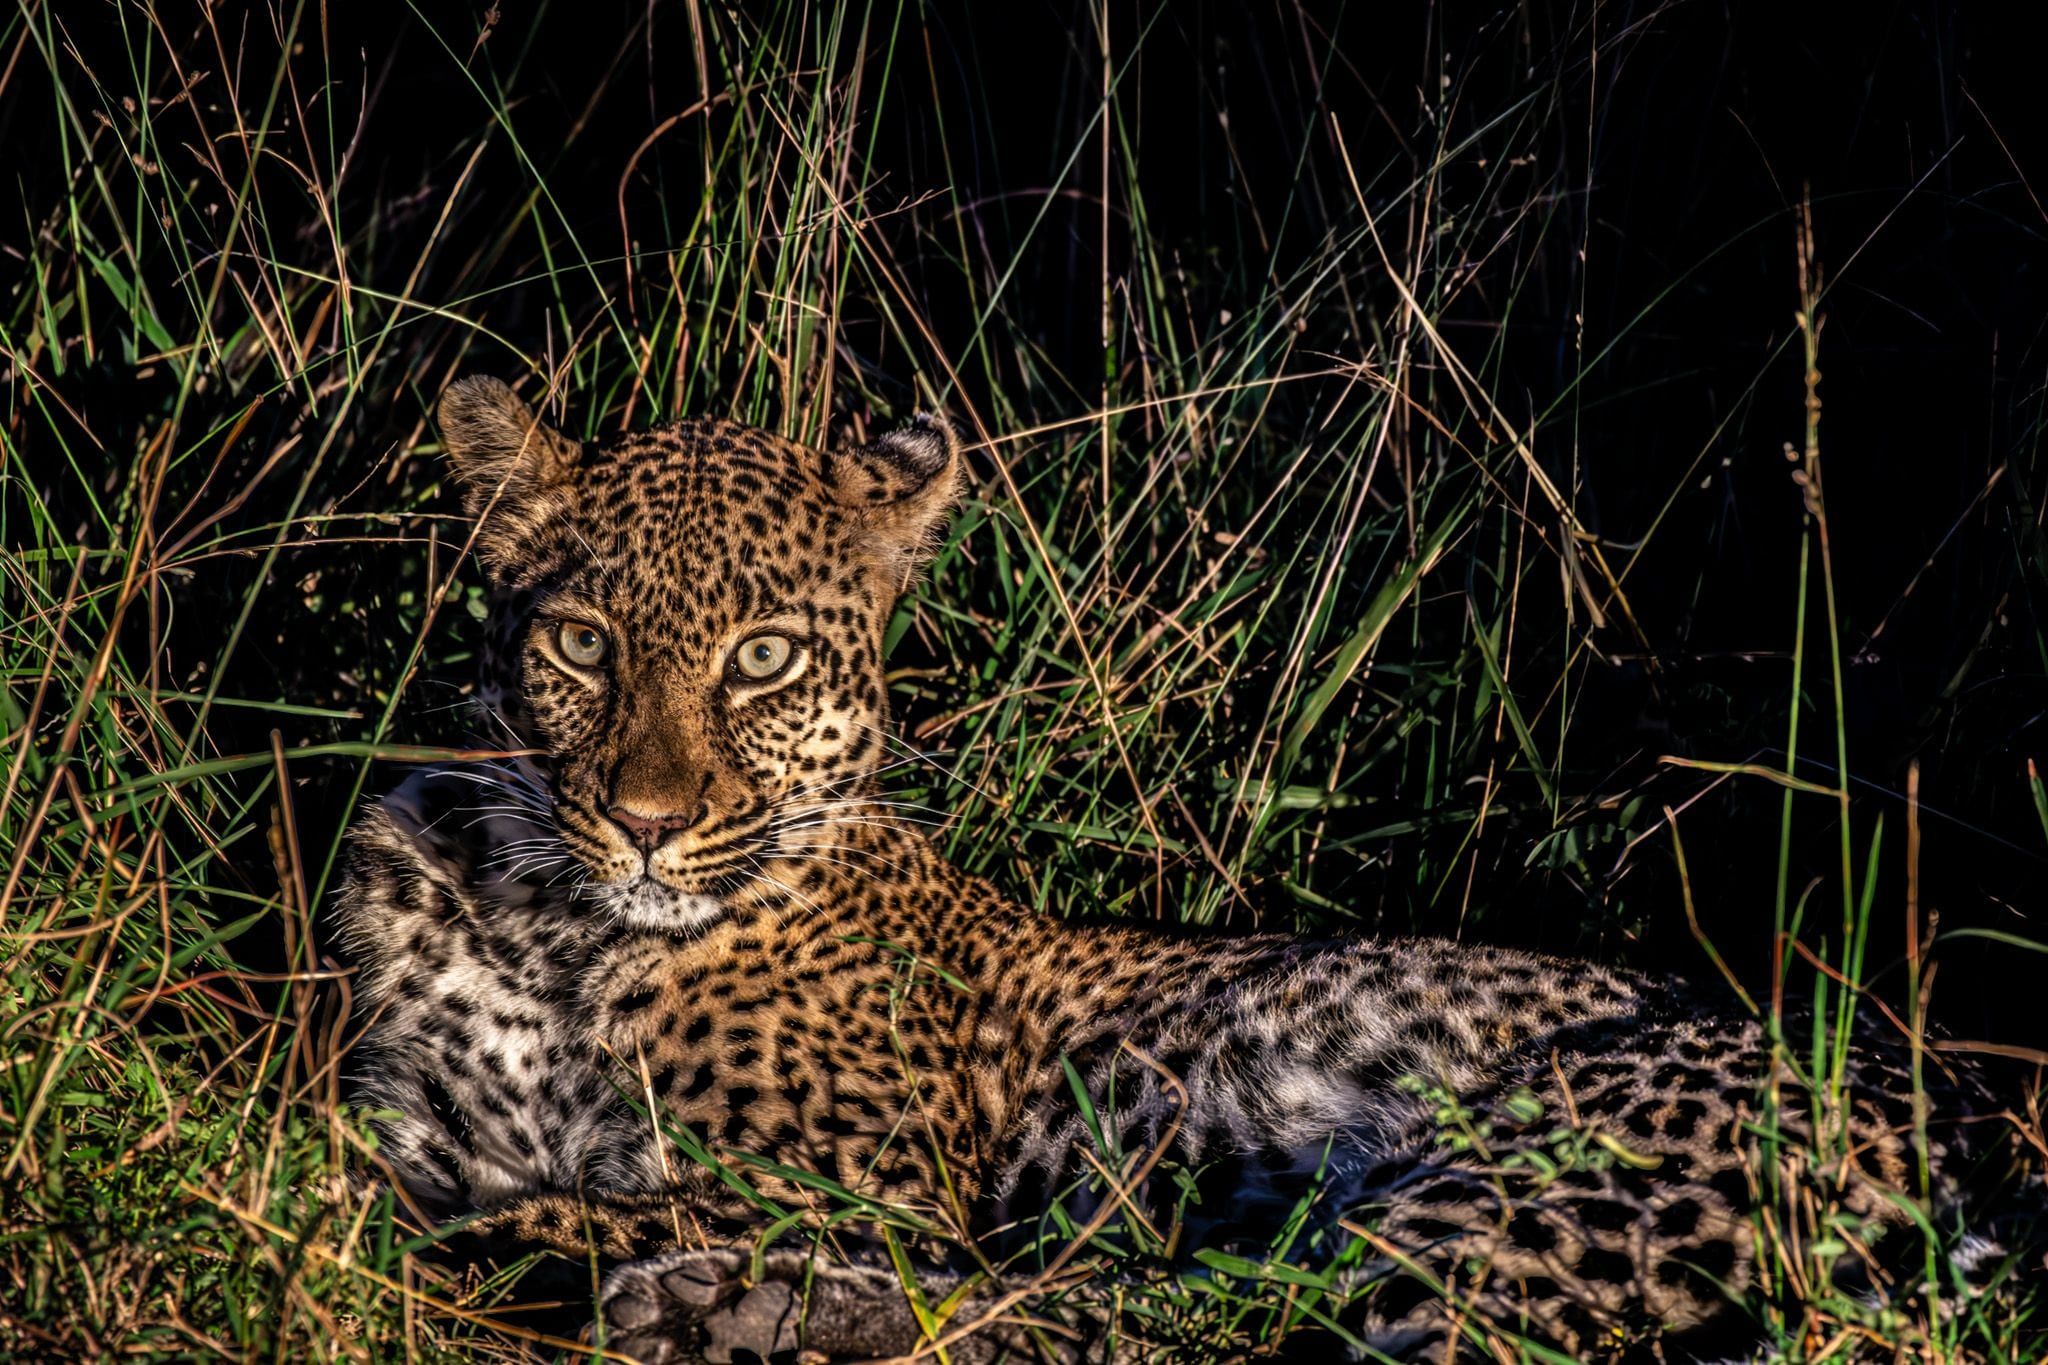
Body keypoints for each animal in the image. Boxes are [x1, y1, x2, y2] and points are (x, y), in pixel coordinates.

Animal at [336, 375, 2041, 1363]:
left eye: (761, 658)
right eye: (579, 643)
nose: (644, 817)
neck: (555, 931)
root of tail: (1980, 1118)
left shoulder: (868, 1173)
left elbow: (558, 1200)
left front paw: (545, 1234)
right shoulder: (399, 1089)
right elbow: (392, 1164)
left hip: (1530, 1172)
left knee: (1188, 1325)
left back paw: (727, 1305)